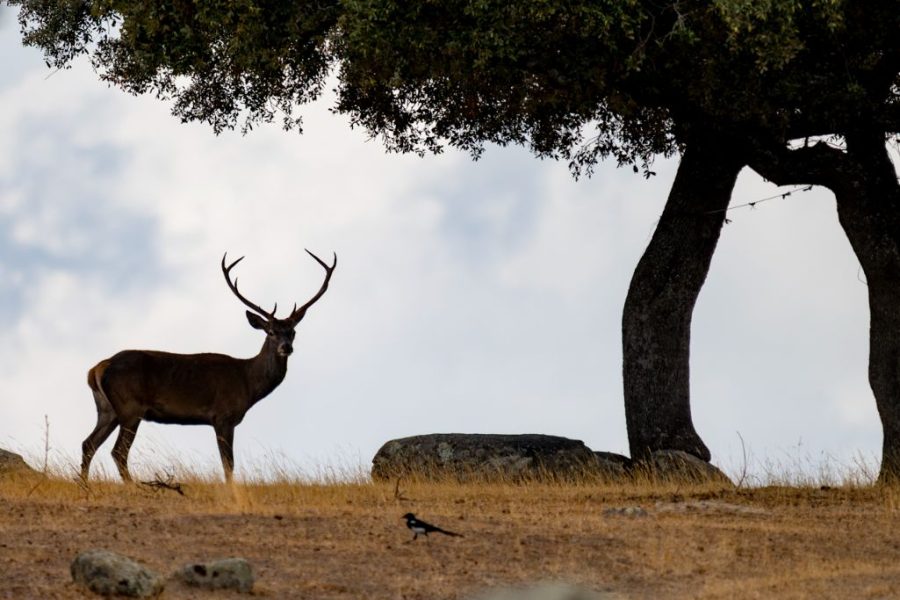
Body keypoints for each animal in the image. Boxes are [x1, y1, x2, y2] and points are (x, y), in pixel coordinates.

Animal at [80, 250, 336, 483]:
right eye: (271, 332)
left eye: (292, 332)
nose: (286, 347)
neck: (248, 383)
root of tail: (96, 369)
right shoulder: (223, 416)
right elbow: (228, 464)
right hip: (130, 407)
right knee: (118, 451)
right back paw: (134, 487)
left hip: (107, 409)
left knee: (88, 444)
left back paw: (85, 484)